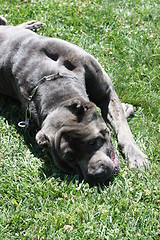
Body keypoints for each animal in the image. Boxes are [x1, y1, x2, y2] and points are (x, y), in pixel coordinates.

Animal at [0, 16, 149, 185]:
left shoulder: (107, 93)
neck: (55, 85)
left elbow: (123, 128)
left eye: (93, 142)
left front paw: (136, 155)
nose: (97, 175)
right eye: (70, 157)